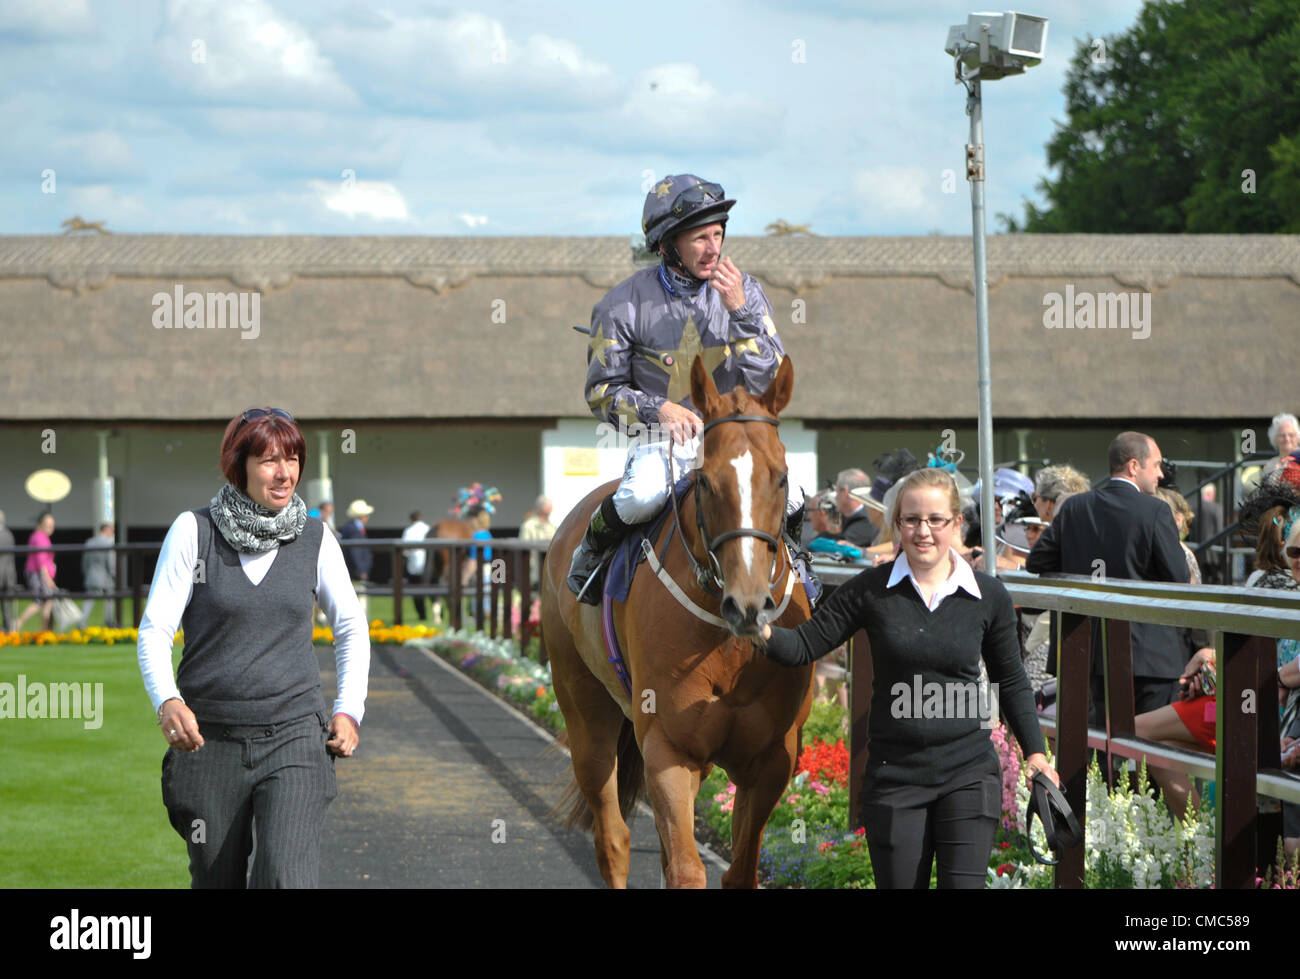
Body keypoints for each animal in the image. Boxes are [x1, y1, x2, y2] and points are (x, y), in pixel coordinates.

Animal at [540, 356, 811, 884]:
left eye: (782, 477)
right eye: (705, 480)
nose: (748, 605)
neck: (728, 644)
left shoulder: (772, 759)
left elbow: (737, 871)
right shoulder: (668, 748)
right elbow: (687, 870)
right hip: (586, 715)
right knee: (613, 838)